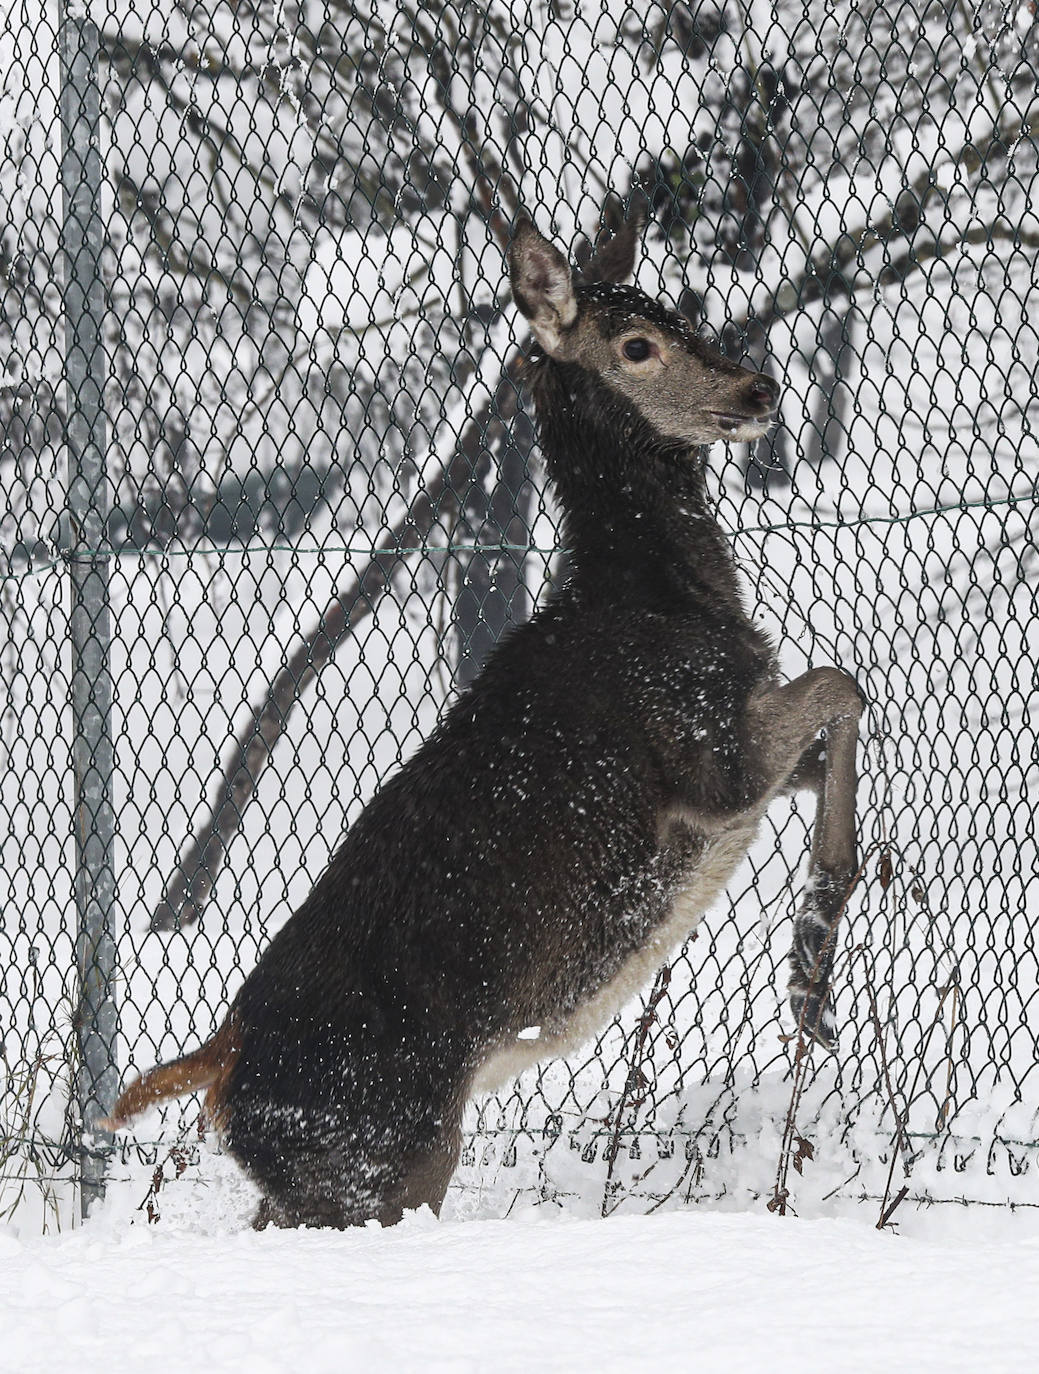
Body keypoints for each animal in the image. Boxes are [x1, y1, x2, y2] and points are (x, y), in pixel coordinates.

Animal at [103, 217, 863, 1236]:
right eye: (636, 345)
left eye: (682, 313)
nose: (757, 390)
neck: (665, 601)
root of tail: (219, 1065)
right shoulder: (702, 756)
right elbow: (841, 683)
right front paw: (813, 958)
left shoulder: (736, 763)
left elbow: (827, 736)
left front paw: (813, 969)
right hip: (384, 1151)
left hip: (330, 1171)